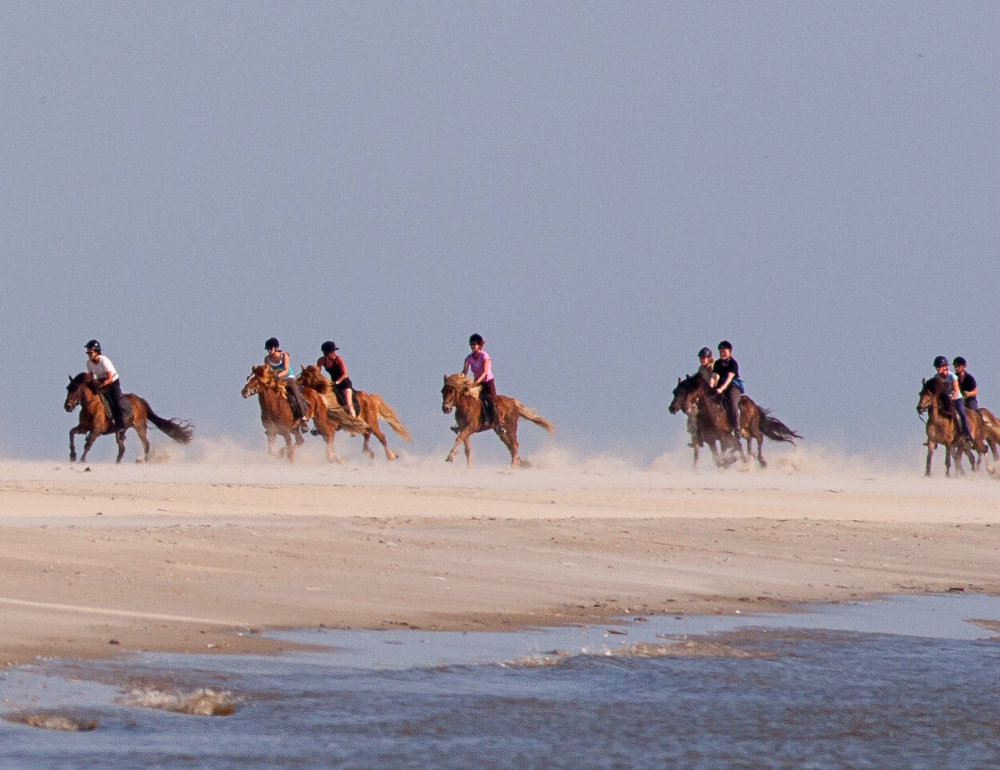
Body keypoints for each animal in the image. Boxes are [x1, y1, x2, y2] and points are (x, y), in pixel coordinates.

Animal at [65, 372, 195, 462]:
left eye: (76, 389)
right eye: (68, 388)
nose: (67, 406)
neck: (91, 406)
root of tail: (140, 401)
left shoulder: (95, 431)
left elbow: (88, 445)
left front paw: (81, 460)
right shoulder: (83, 428)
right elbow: (71, 433)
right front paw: (72, 456)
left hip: (140, 427)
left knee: (146, 444)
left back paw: (145, 461)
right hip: (120, 431)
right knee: (122, 448)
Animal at [668, 374, 800, 468]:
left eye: (690, 390)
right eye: (674, 392)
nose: (673, 408)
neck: (711, 413)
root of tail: (752, 404)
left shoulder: (724, 438)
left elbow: (725, 452)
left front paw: (731, 460)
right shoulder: (711, 440)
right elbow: (717, 458)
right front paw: (728, 461)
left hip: (752, 427)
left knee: (759, 438)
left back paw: (761, 461)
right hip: (744, 431)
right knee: (747, 441)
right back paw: (749, 456)